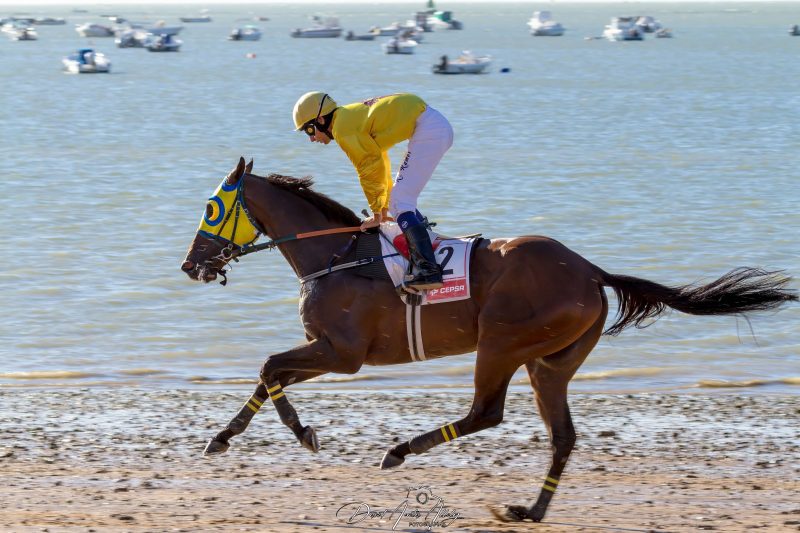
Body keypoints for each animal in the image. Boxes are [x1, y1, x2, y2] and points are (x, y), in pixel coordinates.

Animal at [181, 157, 796, 523]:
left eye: (211, 208)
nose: (191, 265)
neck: (335, 256)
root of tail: (591, 271)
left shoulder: (343, 354)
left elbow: (268, 366)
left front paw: (301, 433)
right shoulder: (327, 350)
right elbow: (269, 374)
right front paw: (223, 438)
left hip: (501, 343)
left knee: (487, 412)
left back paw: (399, 451)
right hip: (550, 362)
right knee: (562, 435)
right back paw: (530, 510)